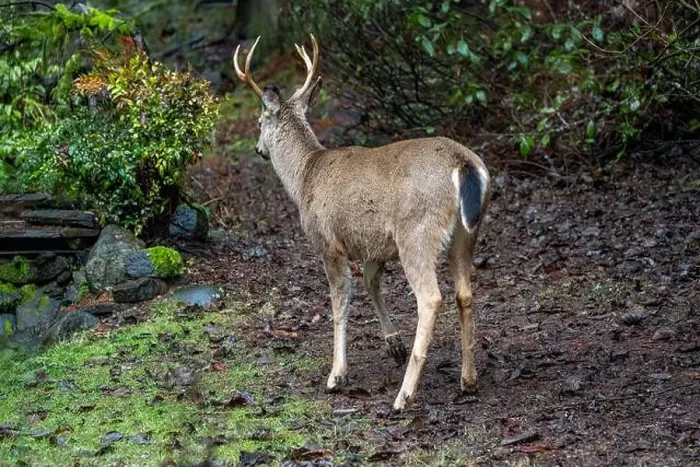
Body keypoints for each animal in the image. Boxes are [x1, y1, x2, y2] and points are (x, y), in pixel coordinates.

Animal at [233, 34, 491, 411]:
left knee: (430, 298)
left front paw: (336, 375)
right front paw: (392, 342)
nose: (258, 149)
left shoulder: (329, 241)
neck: (305, 175)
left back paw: (404, 395)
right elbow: (370, 283)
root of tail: (464, 164)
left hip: (416, 232)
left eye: (259, 123)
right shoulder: (373, 246)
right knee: (465, 294)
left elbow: (340, 301)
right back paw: (468, 380)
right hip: (466, 232)